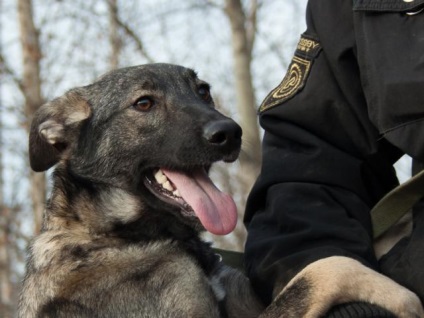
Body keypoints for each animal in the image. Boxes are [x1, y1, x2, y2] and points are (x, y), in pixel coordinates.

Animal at [19, 64, 424, 318]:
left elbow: (313, 273)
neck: (114, 237)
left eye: (203, 92)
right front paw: (403, 297)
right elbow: (326, 269)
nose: (230, 132)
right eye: (144, 103)